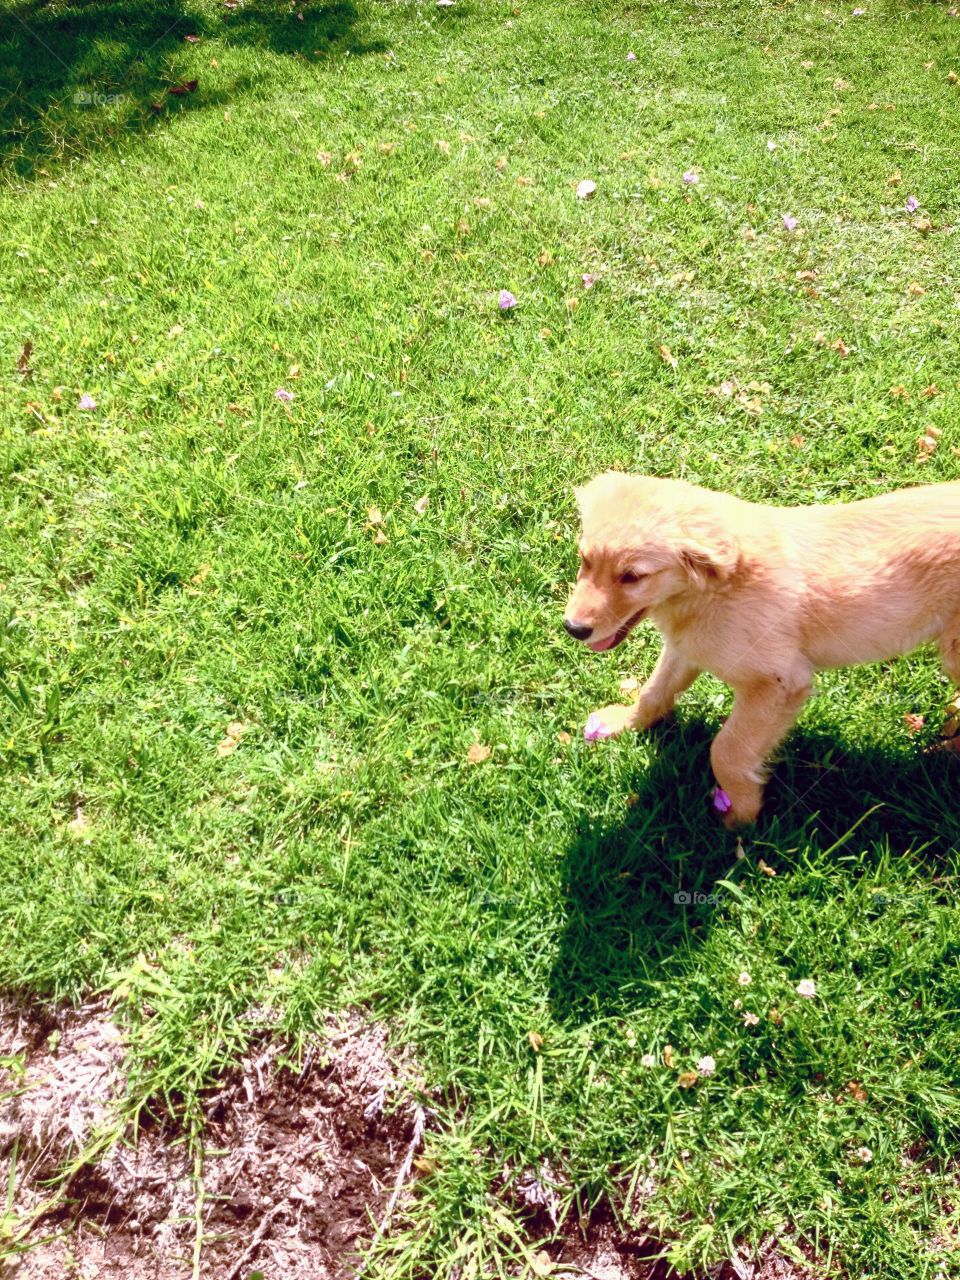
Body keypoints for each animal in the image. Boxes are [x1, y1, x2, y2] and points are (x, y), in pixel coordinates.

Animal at [563, 476, 960, 824]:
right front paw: (622, 722)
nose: (573, 628)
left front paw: (740, 816)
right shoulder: (685, 648)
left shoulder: (777, 682)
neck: (712, 589)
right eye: (585, 560)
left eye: (633, 577)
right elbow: (654, 692)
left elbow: (727, 750)